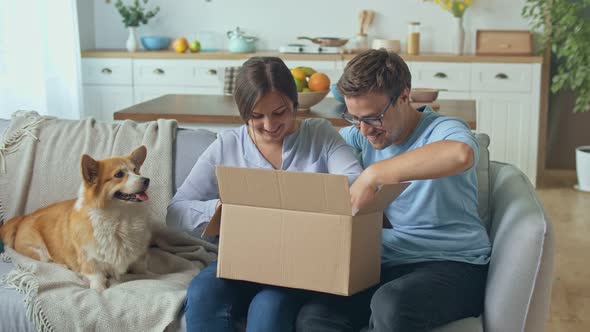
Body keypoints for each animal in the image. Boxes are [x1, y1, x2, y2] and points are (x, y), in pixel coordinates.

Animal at [1, 147, 153, 290]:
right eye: (119, 174)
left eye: (136, 170)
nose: (147, 180)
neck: (120, 218)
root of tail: (23, 218)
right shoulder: (90, 261)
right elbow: (97, 279)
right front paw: (99, 290)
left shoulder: (139, 258)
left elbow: (142, 269)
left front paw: (149, 274)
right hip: (38, 250)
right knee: (48, 261)